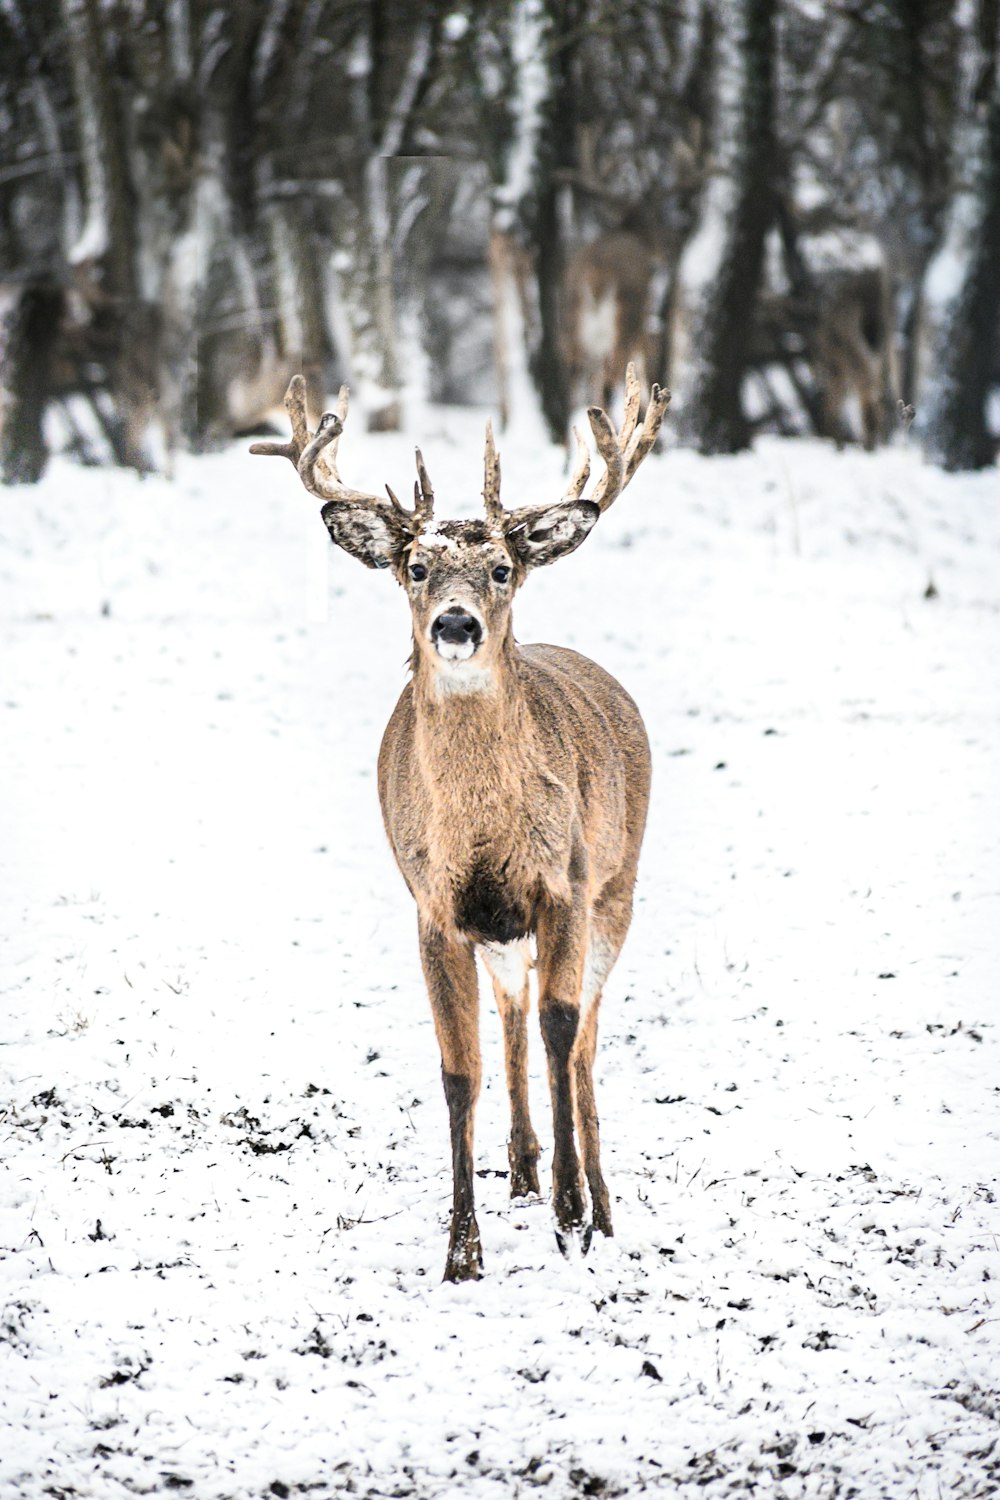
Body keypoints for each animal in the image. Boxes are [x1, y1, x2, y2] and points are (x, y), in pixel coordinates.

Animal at [254, 360, 668, 1278]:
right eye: (413, 564)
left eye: (504, 566)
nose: (455, 622)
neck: (481, 831)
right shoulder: (435, 906)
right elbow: (457, 1069)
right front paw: (463, 1251)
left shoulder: (565, 884)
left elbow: (561, 1031)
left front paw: (572, 1219)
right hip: (502, 930)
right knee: (511, 1012)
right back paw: (521, 1170)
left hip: (619, 889)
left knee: (583, 1037)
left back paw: (598, 1202)